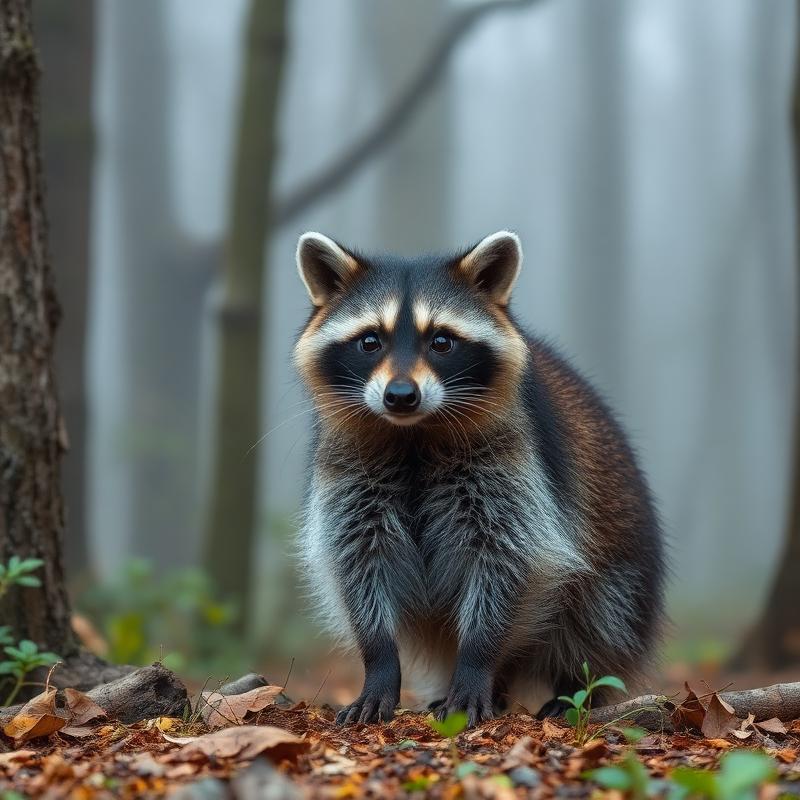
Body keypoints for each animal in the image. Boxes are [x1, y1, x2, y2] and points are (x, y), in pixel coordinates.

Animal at [293, 230, 665, 726]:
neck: (414, 435)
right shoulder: (348, 475)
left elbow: (508, 561)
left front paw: (476, 663)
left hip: (627, 557)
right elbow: (360, 562)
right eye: (370, 341)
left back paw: (569, 689)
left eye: (441, 342)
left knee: (602, 619)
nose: (400, 396)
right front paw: (380, 665)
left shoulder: (515, 470)